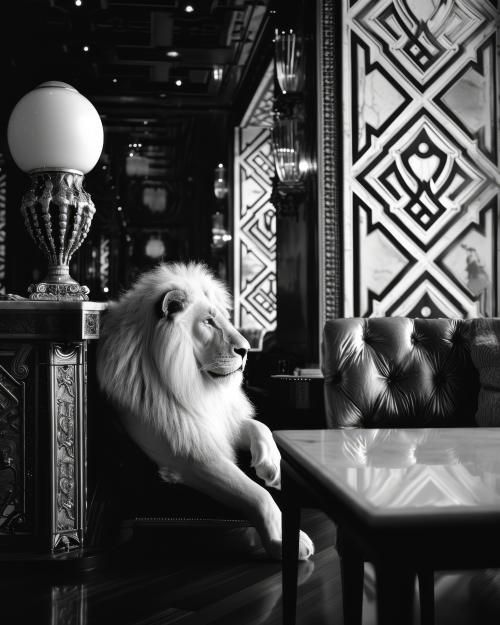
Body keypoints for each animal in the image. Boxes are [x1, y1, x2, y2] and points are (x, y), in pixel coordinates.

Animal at [97, 261, 314, 561]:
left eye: (223, 319)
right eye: (208, 322)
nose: (246, 350)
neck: (193, 386)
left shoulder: (214, 421)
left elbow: (259, 426)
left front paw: (271, 467)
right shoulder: (189, 458)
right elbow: (258, 496)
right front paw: (283, 542)